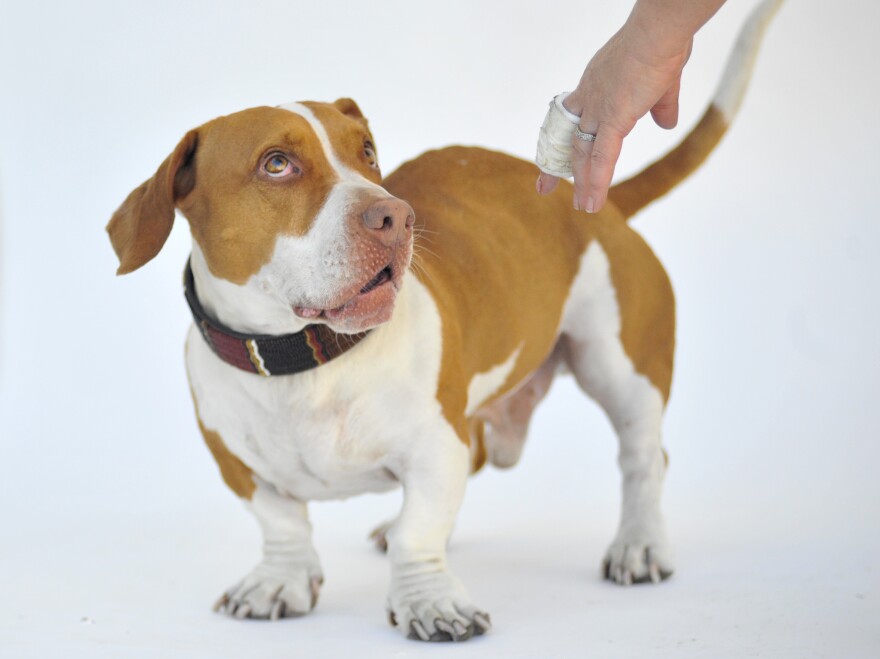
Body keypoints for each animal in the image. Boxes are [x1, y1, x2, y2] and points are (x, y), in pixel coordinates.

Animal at [105, 2, 784, 644]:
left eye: (367, 152)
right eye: (276, 164)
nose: (396, 217)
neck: (303, 361)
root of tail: (603, 205)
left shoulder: (436, 445)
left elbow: (418, 531)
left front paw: (430, 603)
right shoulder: (236, 463)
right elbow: (283, 521)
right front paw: (280, 581)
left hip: (619, 368)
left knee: (643, 457)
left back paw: (639, 544)